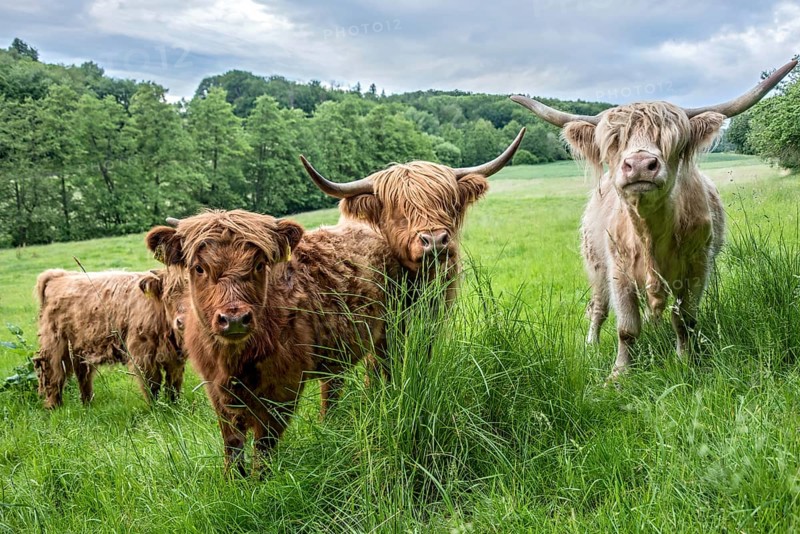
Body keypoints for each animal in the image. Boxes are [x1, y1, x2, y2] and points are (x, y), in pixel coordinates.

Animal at [33, 267, 187, 407]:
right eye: (169, 294)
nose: (182, 321)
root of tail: (60, 274)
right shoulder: (143, 354)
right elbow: (152, 383)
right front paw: (156, 409)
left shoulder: (176, 357)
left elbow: (174, 383)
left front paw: (174, 406)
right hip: (55, 344)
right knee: (54, 376)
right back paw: (54, 407)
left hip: (78, 347)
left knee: (82, 375)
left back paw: (88, 405)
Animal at [299, 129, 525, 405]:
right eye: (399, 211)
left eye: (448, 204)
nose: (435, 241)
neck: (415, 283)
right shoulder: (384, 328)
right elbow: (382, 366)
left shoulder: (434, 317)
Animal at [511, 60, 797, 380]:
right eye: (614, 142)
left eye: (673, 140)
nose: (638, 165)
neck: (651, 232)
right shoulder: (618, 269)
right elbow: (626, 327)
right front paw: (619, 374)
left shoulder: (698, 265)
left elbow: (683, 319)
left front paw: (685, 361)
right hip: (594, 265)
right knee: (598, 307)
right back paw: (591, 345)